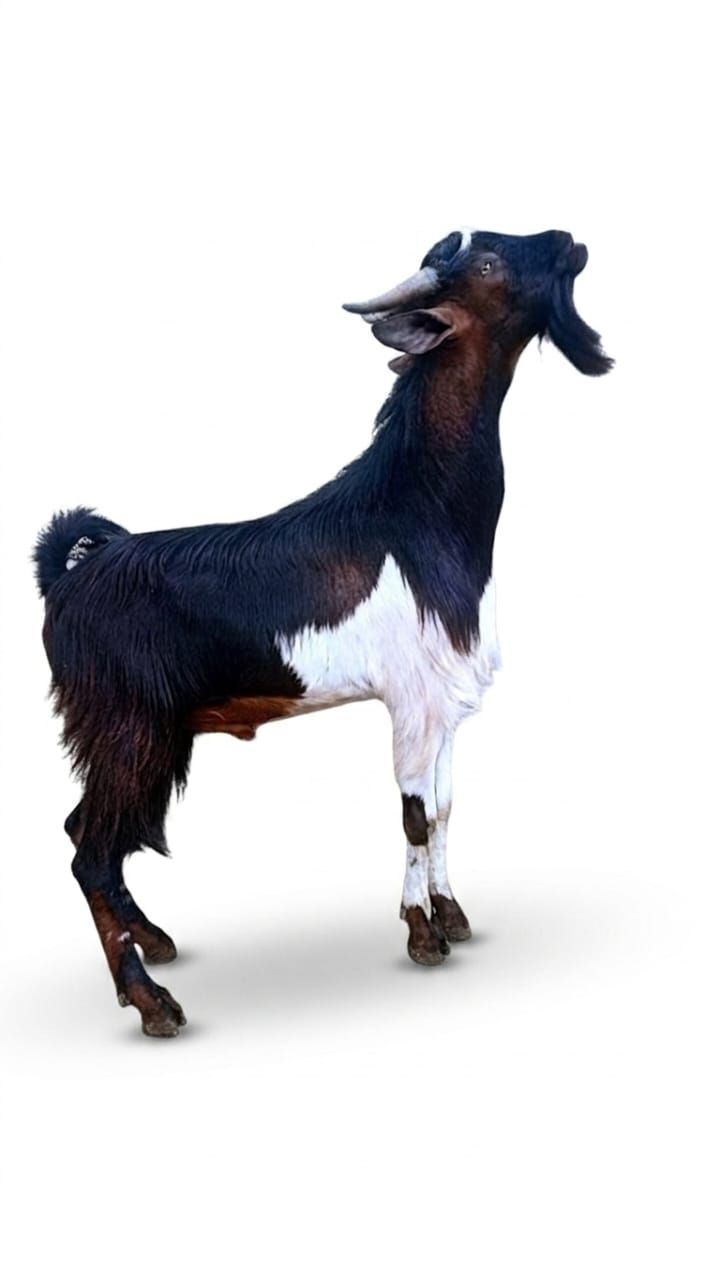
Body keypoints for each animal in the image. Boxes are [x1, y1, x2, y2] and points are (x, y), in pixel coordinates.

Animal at [34, 227, 612, 1037]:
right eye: (489, 264)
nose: (569, 240)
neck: (413, 512)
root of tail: (67, 577)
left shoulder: (444, 708)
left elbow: (444, 808)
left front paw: (453, 915)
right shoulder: (411, 700)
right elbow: (413, 816)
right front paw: (422, 936)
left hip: (144, 734)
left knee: (86, 833)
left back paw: (153, 942)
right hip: (125, 726)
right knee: (92, 851)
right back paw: (152, 1001)